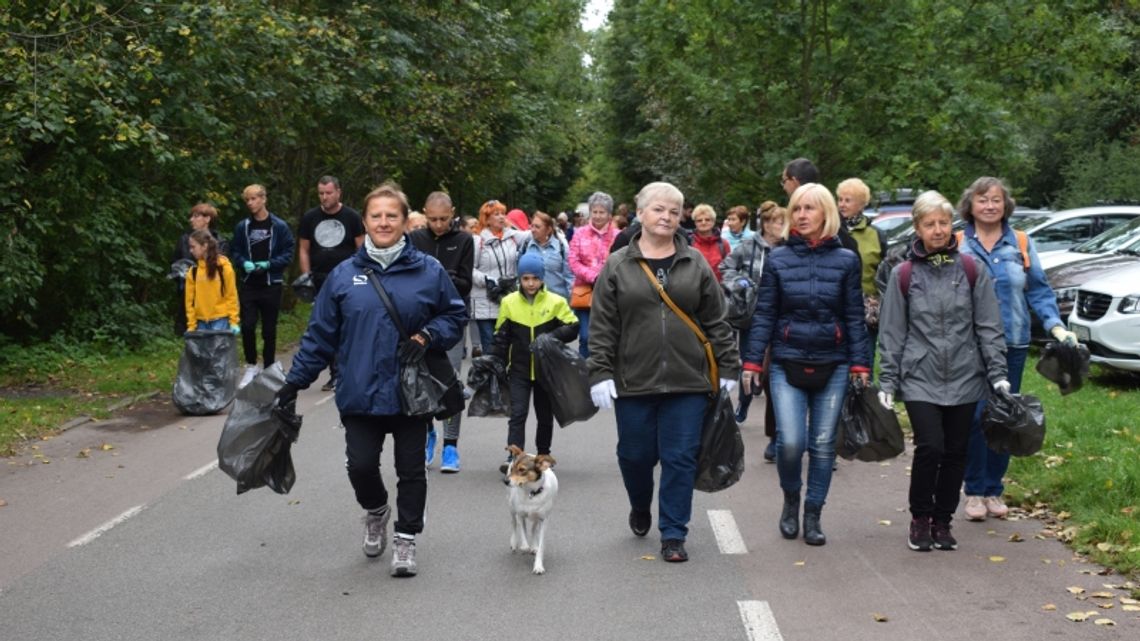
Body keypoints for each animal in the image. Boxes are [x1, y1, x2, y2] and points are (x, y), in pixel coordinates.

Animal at [508, 444, 560, 574]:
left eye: (522, 470)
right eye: (512, 469)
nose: (505, 480)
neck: (531, 493)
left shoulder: (543, 520)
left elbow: (541, 545)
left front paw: (538, 565)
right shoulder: (520, 514)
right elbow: (521, 529)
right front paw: (524, 546)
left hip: (536, 517)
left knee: (533, 529)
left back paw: (533, 546)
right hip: (511, 506)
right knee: (514, 524)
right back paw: (515, 543)